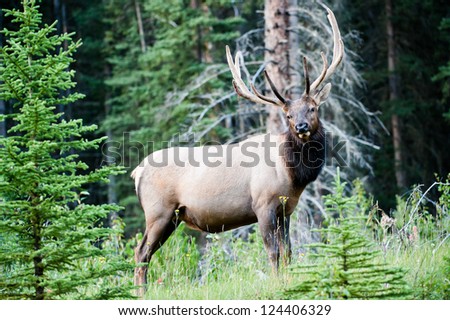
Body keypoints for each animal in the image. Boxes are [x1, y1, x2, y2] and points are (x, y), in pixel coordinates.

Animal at [132, 5, 342, 296]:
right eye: (288, 115)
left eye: (313, 108)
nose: (301, 126)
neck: (292, 174)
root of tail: (136, 171)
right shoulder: (263, 204)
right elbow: (273, 252)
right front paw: (277, 284)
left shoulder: (286, 209)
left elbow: (289, 251)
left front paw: (289, 281)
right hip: (158, 211)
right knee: (141, 253)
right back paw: (141, 294)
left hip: (172, 217)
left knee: (144, 254)